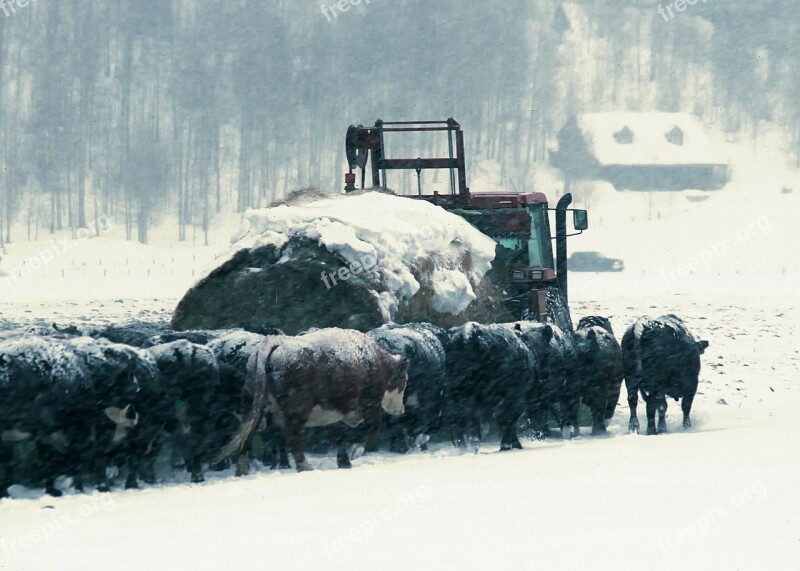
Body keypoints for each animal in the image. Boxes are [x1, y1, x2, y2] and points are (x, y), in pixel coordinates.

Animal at [217, 328, 406, 476]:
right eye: (404, 381)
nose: (401, 410)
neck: (377, 361)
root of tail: (275, 342)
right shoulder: (371, 403)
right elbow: (373, 428)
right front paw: (356, 450)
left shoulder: (333, 411)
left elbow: (339, 436)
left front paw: (344, 462)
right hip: (298, 410)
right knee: (291, 438)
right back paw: (305, 467)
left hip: (252, 406)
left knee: (247, 437)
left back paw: (242, 470)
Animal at [444, 324, 536, 454]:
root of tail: (469, 334)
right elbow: (508, 420)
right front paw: (510, 445)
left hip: (456, 392)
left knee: (458, 418)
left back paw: (463, 446)